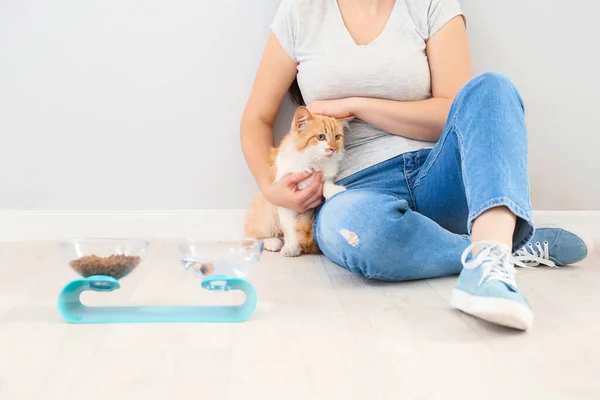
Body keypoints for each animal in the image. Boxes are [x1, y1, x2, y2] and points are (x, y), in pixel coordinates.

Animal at [244, 105, 350, 256]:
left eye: (337, 137)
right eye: (321, 137)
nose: (333, 149)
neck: (312, 161)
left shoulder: (325, 175)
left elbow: (326, 182)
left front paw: (334, 191)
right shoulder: (285, 201)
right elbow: (289, 228)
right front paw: (291, 248)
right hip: (267, 214)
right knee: (252, 235)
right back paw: (272, 242)